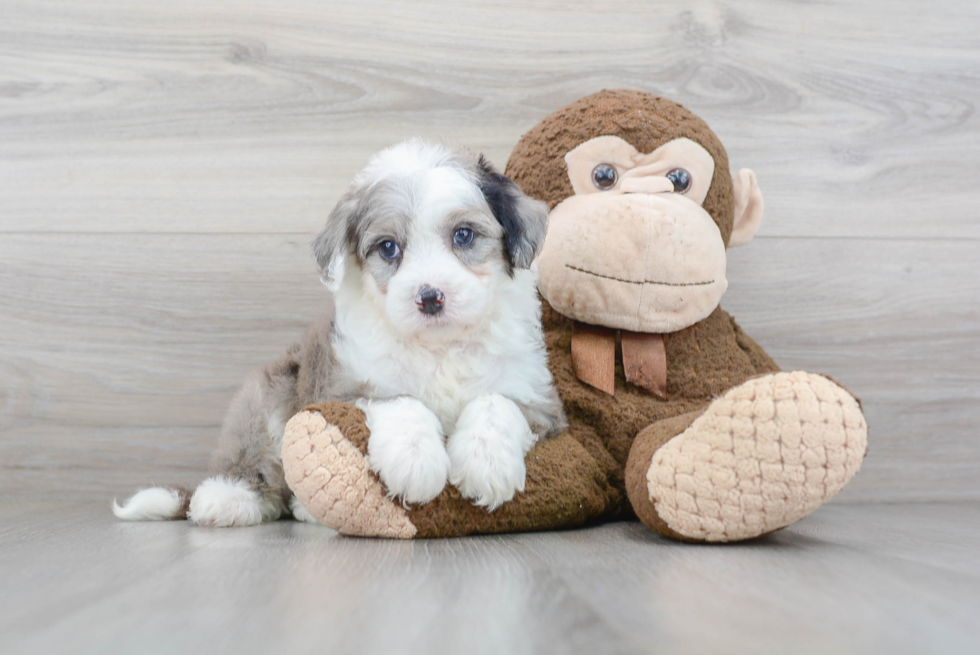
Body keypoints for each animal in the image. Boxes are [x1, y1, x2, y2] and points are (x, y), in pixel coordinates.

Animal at [115, 138, 568, 528]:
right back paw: (227, 499)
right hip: (269, 394)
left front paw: (486, 463)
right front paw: (416, 460)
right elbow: (400, 399)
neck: (438, 346)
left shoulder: (540, 400)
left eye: (464, 235)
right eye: (388, 248)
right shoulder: (344, 387)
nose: (429, 298)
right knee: (257, 462)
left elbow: (496, 402)